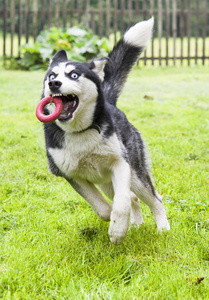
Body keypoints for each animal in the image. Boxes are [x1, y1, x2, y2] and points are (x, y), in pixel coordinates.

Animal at [42, 17, 170, 245]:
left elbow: (122, 203)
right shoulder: (70, 174)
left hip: (135, 172)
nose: (54, 83)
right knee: (133, 197)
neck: (80, 131)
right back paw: (137, 223)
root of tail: (110, 102)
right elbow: (101, 209)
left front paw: (118, 230)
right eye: (52, 75)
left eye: (73, 75)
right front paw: (115, 220)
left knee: (152, 198)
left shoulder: (120, 163)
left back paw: (163, 228)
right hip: (106, 183)